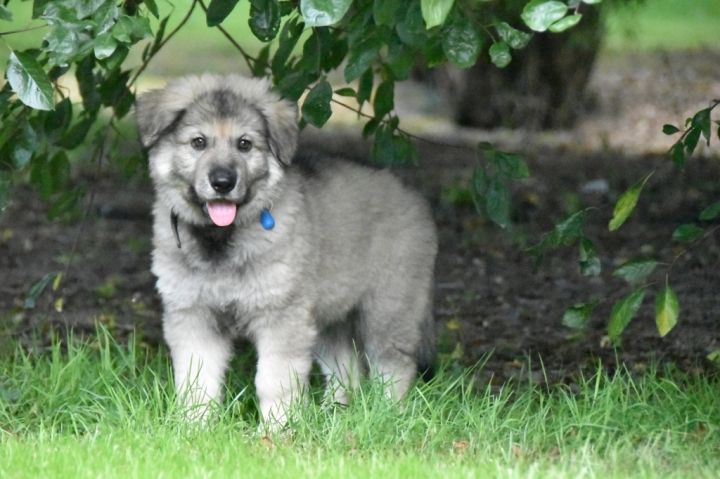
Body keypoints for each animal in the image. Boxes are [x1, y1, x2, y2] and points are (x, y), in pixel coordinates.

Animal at [135, 74, 437, 424]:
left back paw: (388, 415)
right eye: (198, 142)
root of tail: (415, 197)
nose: (223, 182)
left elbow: (274, 380)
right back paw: (335, 415)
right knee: (346, 367)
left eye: (244, 144)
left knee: (394, 365)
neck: (221, 240)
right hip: (328, 314)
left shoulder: (280, 317)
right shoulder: (193, 317)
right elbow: (197, 380)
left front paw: (278, 428)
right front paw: (195, 426)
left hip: (388, 309)